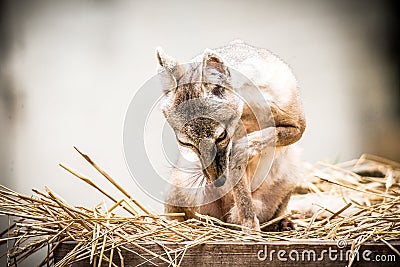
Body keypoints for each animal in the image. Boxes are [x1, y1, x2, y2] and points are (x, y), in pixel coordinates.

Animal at [155, 40, 304, 232]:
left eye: (221, 136)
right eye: (186, 144)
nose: (217, 182)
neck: (250, 109)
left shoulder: (298, 126)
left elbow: (271, 134)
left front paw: (244, 147)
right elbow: (244, 202)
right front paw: (251, 230)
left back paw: (281, 224)